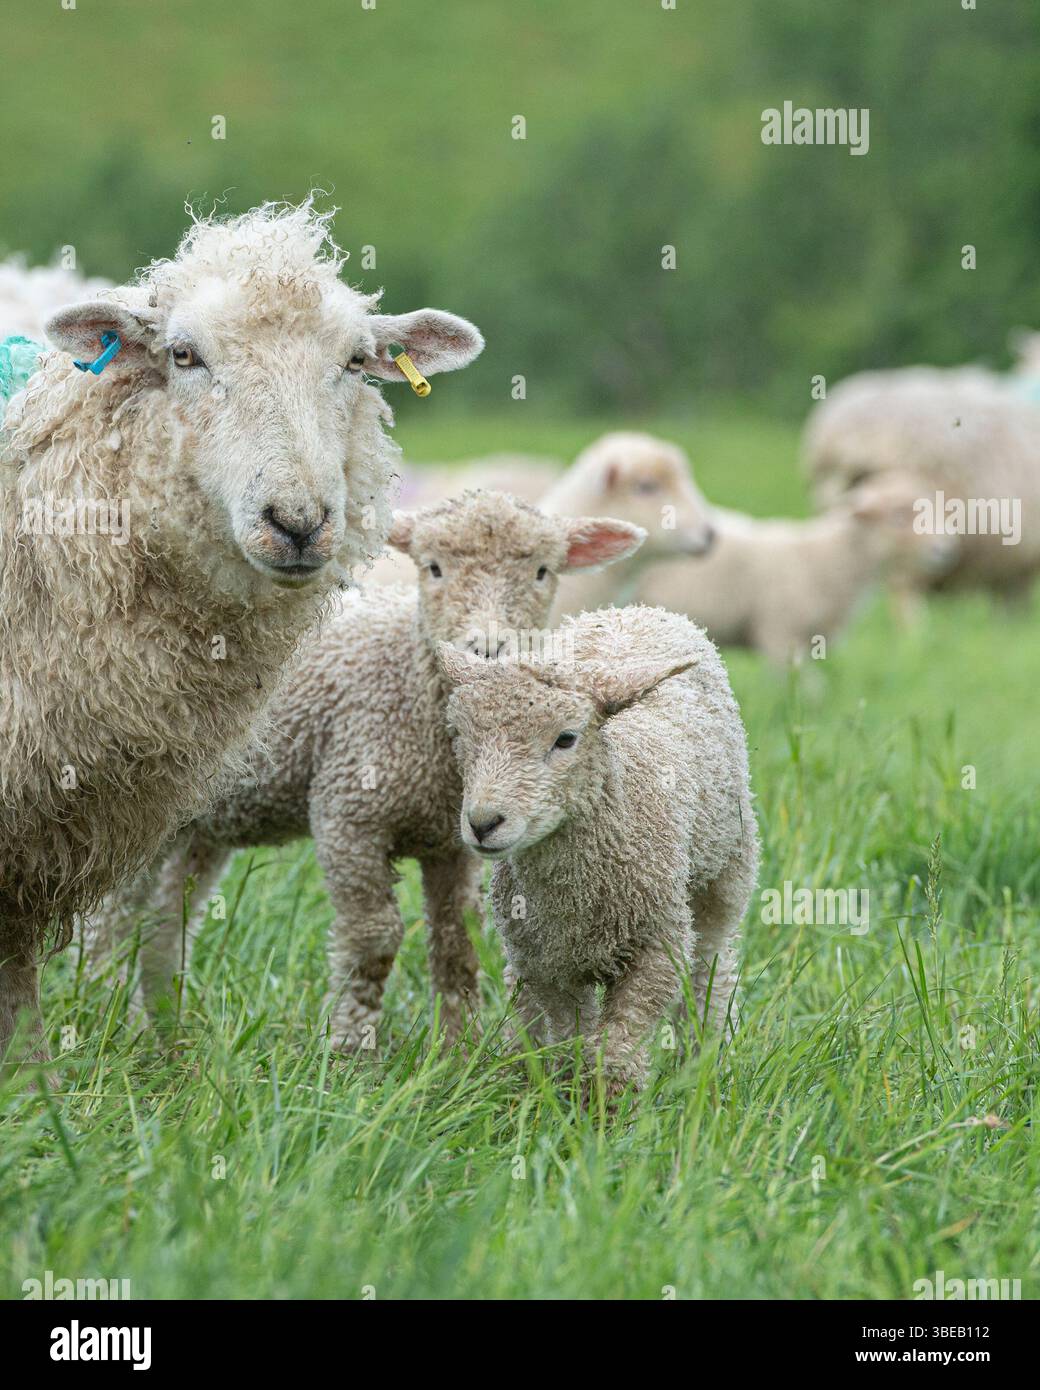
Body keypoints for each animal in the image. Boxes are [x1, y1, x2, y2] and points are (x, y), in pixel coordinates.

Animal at [85, 491, 645, 1050]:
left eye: (542, 571)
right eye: (433, 567)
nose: (486, 648)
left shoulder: (455, 844)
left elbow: (457, 943)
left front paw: (455, 1049)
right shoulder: (348, 814)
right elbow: (373, 938)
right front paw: (352, 1046)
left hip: (196, 824)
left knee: (166, 920)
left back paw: (166, 1030)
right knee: (115, 918)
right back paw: (114, 1020)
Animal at [438, 602, 759, 1100]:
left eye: (566, 738)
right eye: (460, 735)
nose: (483, 823)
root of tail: (634, 610)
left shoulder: (658, 947)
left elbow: (618, 1042)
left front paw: (610, 1102)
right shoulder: (548, 963)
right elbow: (572, 1033)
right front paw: (569, 1091)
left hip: (725, 876)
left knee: (712, 969)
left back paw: (705, 1064)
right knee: (520, 994)